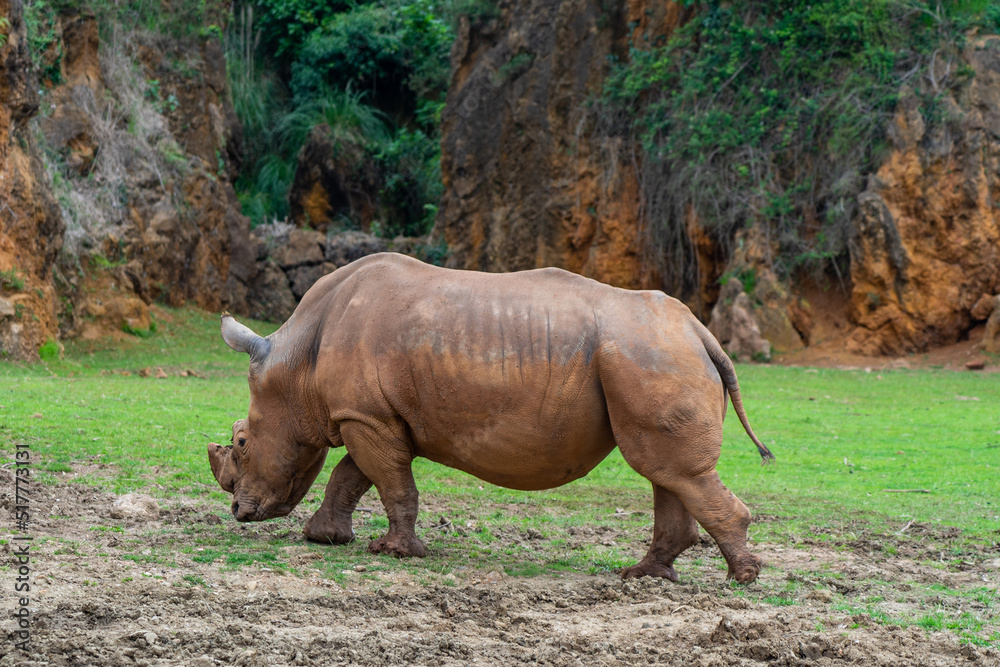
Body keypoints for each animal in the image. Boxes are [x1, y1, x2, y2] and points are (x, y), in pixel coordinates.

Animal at [208, 253, 774, 583]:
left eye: (242, 442)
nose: (238, 512)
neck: (295, 364)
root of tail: (699, 331)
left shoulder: (366, 415)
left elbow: (387, 480)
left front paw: (395, 553)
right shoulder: (371, 416)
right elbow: (353, 475)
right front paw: (324, 538)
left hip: (649, 354)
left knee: (670, 469)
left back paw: (740, 580)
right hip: (653, 354)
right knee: (665, 471)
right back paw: (643, 576)